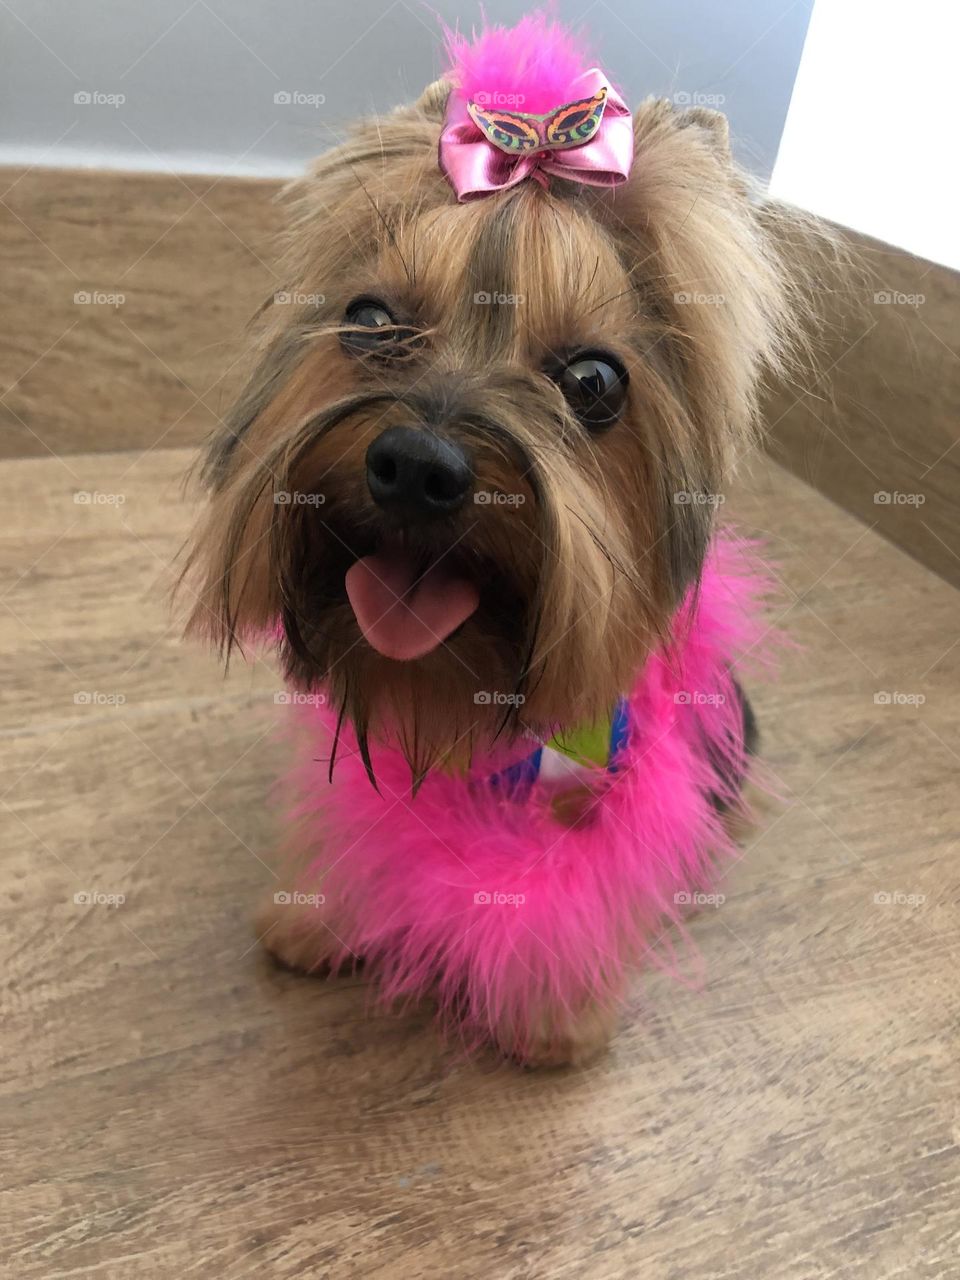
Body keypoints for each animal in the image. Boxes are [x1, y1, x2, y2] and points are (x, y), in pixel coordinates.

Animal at [180, 15, 814, 1064]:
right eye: (370, 320)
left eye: (594, 382)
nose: (416, 466)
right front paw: (326, 914)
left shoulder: (600, 769)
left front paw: (555, 1006)